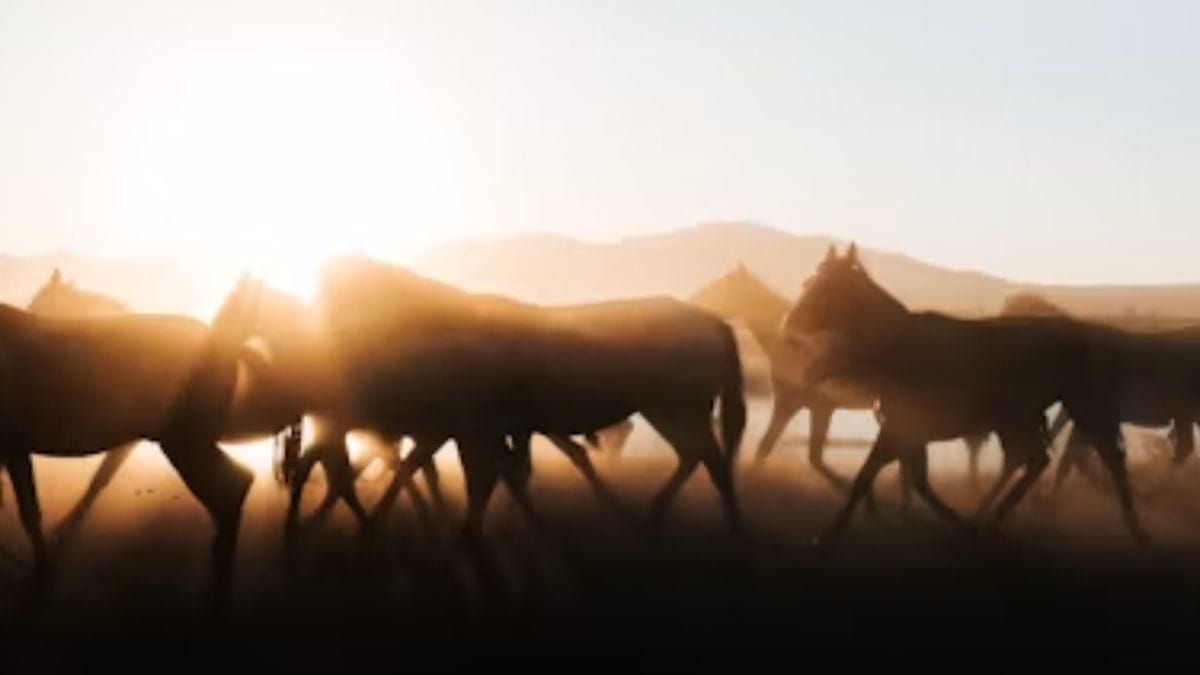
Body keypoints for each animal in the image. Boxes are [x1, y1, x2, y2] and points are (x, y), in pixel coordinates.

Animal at [0, 276, 263, 608]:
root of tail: (229, 345)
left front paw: (44, 571)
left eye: (45, 298)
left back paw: (218, 584)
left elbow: (30, 511)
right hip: (191, 443)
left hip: (186, 443)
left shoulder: (14, 445)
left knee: (231, 488)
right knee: (239, 482)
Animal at [247, 255, 746, 539]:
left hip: (675, 408)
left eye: (341, 292)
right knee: (695, 456)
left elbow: (478, 474)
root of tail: (713, 322)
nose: (318, 351)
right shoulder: (471, 428)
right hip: (672, 411)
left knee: (710, 460)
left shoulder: (469, 427)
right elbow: (482, 472)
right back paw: (654, 514)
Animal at [788, 244, 1196, 545]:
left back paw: (1131, 525)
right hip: (1024, 419)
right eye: (809, 281)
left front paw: (828, 535)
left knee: (1100, 459)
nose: (790, 325)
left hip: (1080, 409)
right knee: (1039, 460)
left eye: (827, 287)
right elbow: (909, 478)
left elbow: (872, 477)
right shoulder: (908, 431)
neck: (901, 348)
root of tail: (1087, 336)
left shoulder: (901, 428)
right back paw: (994, 516)